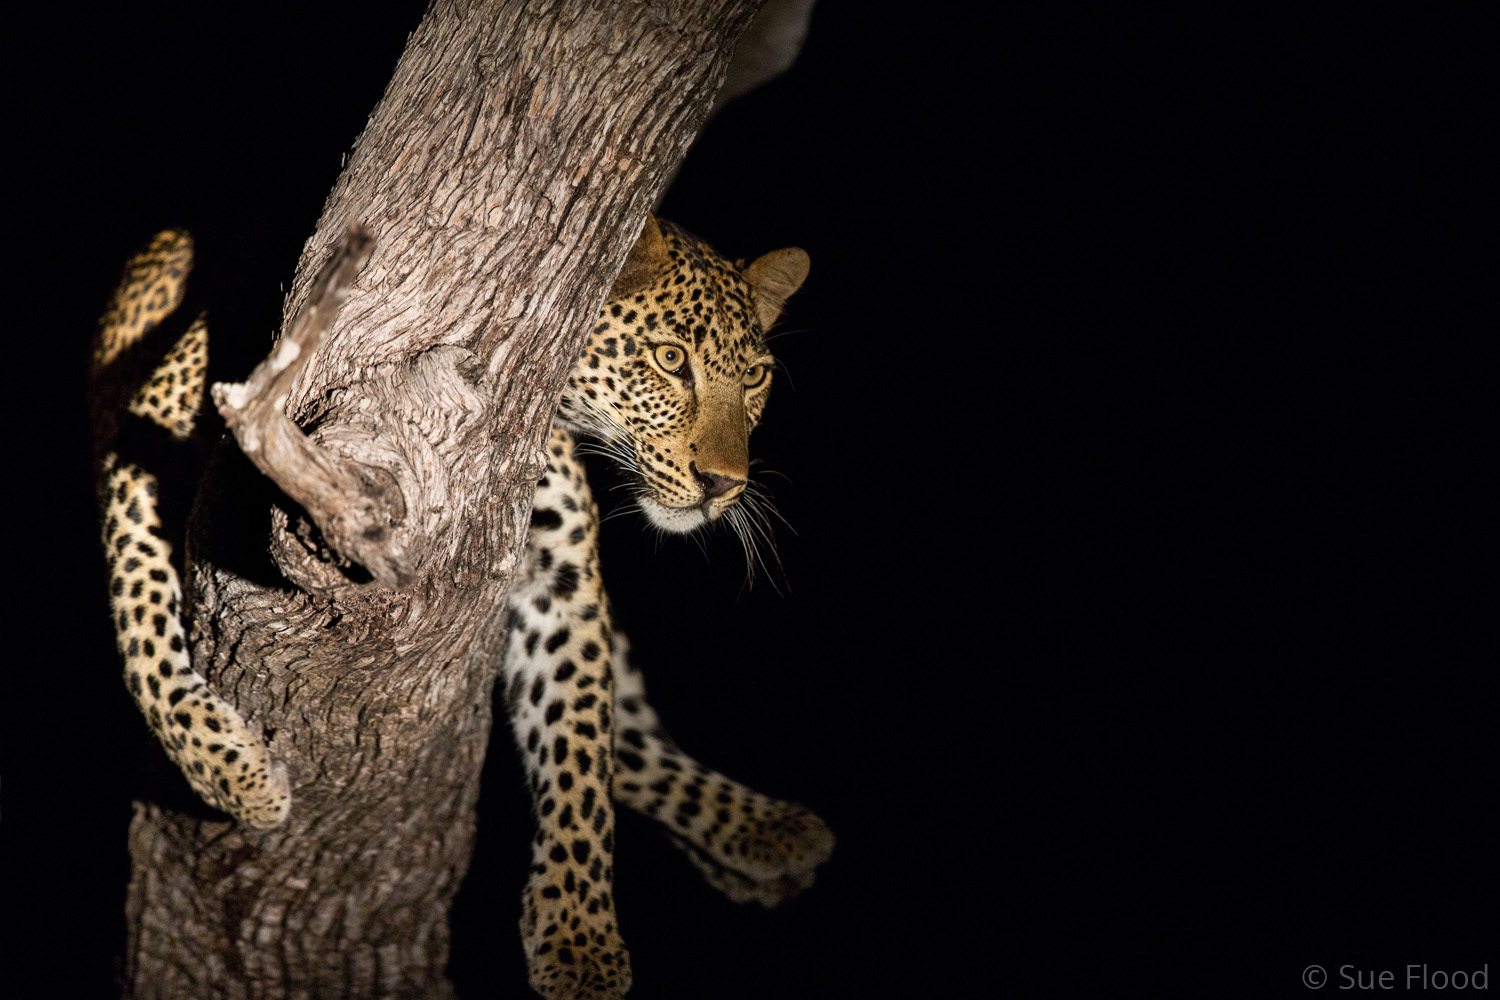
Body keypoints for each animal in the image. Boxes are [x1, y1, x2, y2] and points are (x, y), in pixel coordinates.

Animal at [90, 218, 846, 1000]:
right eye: (670, 360)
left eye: (754, 377)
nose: (722, 485)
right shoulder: (145, 439)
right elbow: (142, 627)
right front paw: (232, 773)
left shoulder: (558, 576)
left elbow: (581, 751)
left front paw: (579, 936)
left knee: (627, 737)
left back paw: (766, 829)